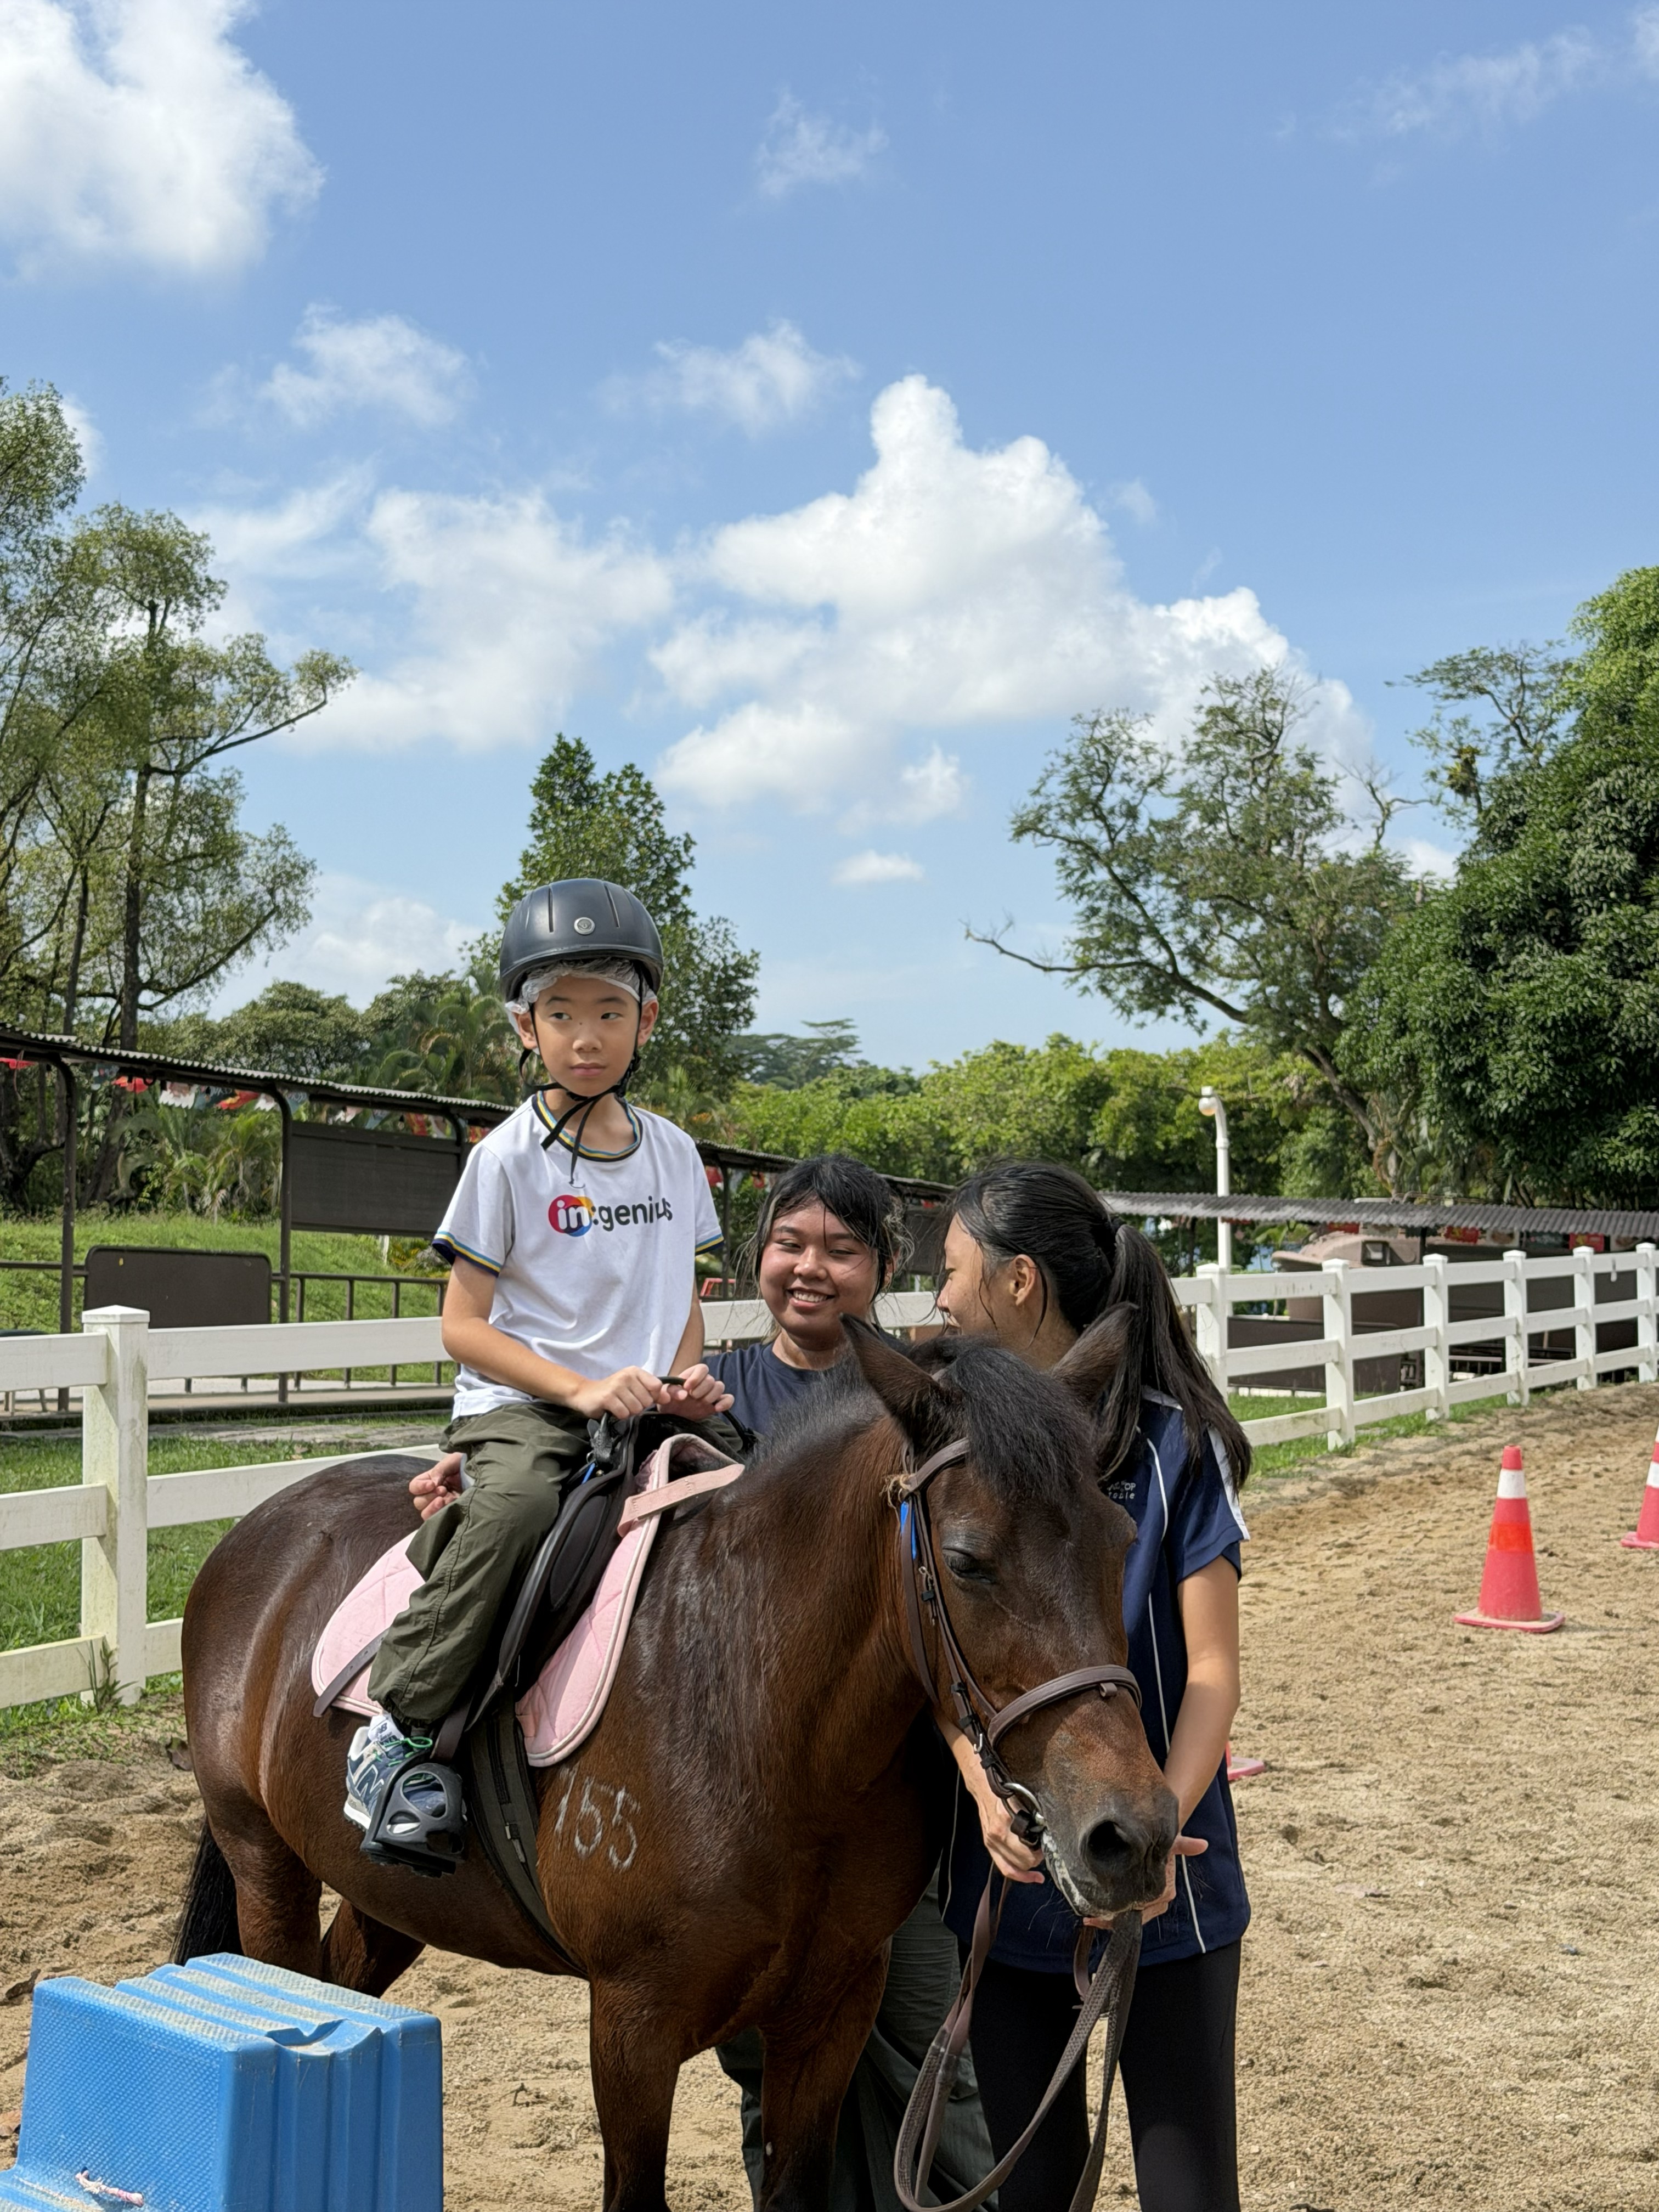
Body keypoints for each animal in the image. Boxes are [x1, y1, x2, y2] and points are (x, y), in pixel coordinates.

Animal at [174, 1320, 1178, 2212]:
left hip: (392, 1898)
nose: (1129, 1836)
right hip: (265, 1861)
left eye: (1121, 1540)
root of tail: (258, 1529)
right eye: (967, 1561)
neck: (759, 1712)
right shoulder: (632, 2027)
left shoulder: (831, 2010)